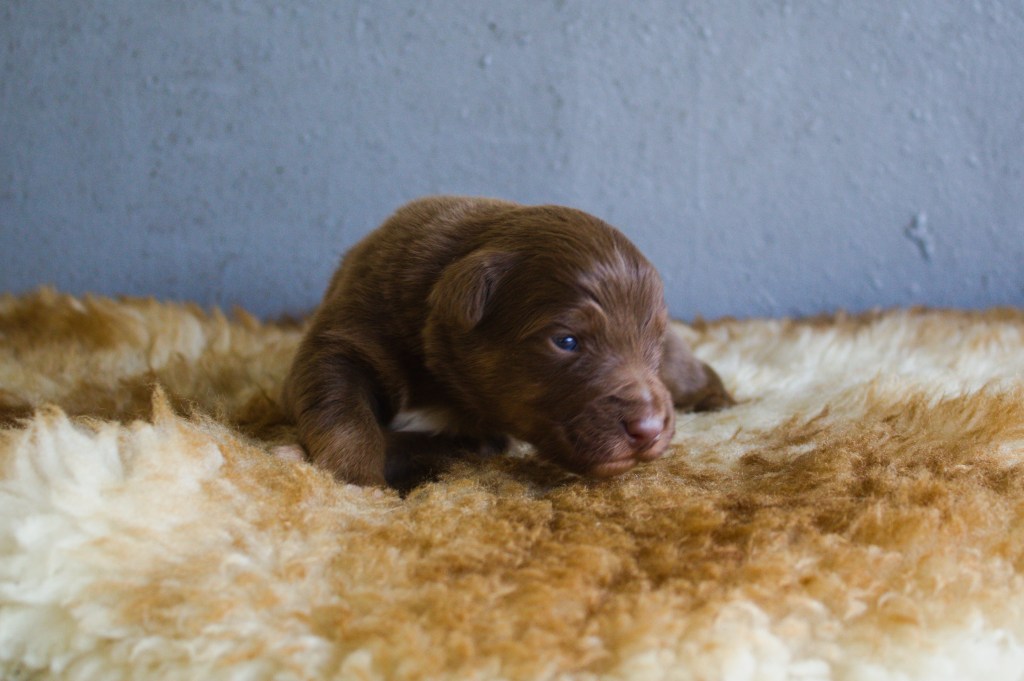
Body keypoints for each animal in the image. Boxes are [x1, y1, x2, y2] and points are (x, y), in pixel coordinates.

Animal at [281, 196, 733, 488]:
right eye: (566, 341)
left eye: (651, 338)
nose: (650, 428)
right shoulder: (351, 326)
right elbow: (336, 396)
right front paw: (354, 473)